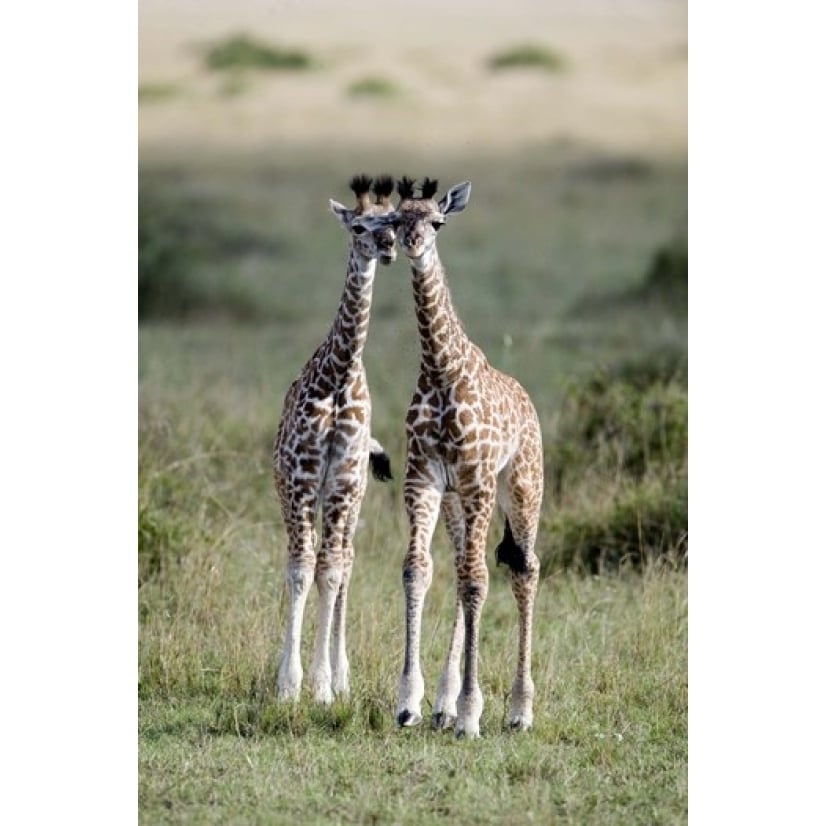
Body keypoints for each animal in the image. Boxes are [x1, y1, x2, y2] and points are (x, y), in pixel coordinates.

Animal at [358, 177, 540, 736]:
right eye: (398, 219)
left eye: (437, 222)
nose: (413, 244)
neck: (441, 369)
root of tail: (528, 402)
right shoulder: (424, 478)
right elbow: (418, 569)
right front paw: (411, 702)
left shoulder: (478, 479)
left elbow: (478, 581)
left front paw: (472, 713)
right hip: (459, 501)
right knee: (464, 566)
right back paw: (444, 703)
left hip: (522, 486)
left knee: (524, 569)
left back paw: (519, 710)